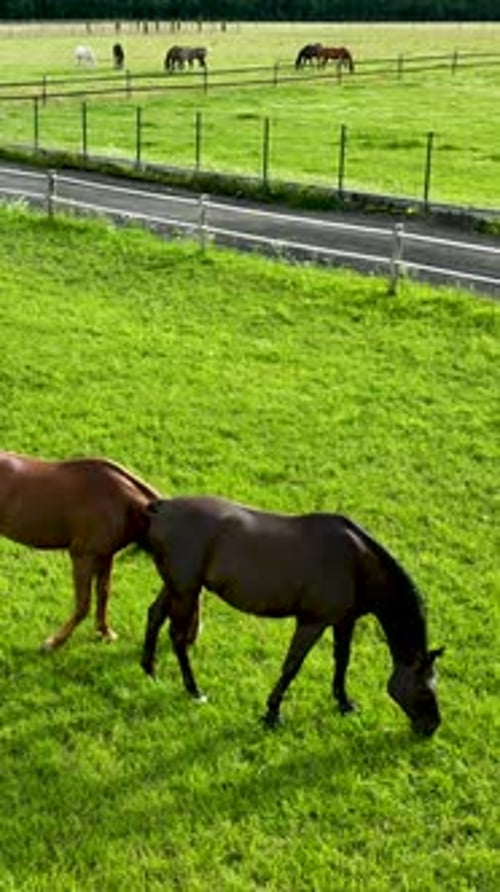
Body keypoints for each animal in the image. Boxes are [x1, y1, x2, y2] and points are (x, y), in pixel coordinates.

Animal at [0, 451, 159, 650]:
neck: (121, 501)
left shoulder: (106, 556)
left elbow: (103, 593)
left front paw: (105, 631)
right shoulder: (82, 556)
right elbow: (83, 604)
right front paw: (55, 641)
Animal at [141, 496, 444, 737]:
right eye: (425, 690)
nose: (432, 727)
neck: (356, 562)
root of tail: (164, 507)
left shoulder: (344, 621)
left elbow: (342, 661)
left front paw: (344, 702)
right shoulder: (312, 623)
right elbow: (292, 666)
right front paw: (272, 713)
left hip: (175, 587)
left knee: (154, 615)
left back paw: (150, 669)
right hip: (186, 592)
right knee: (178, 637)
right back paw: (194, 691)